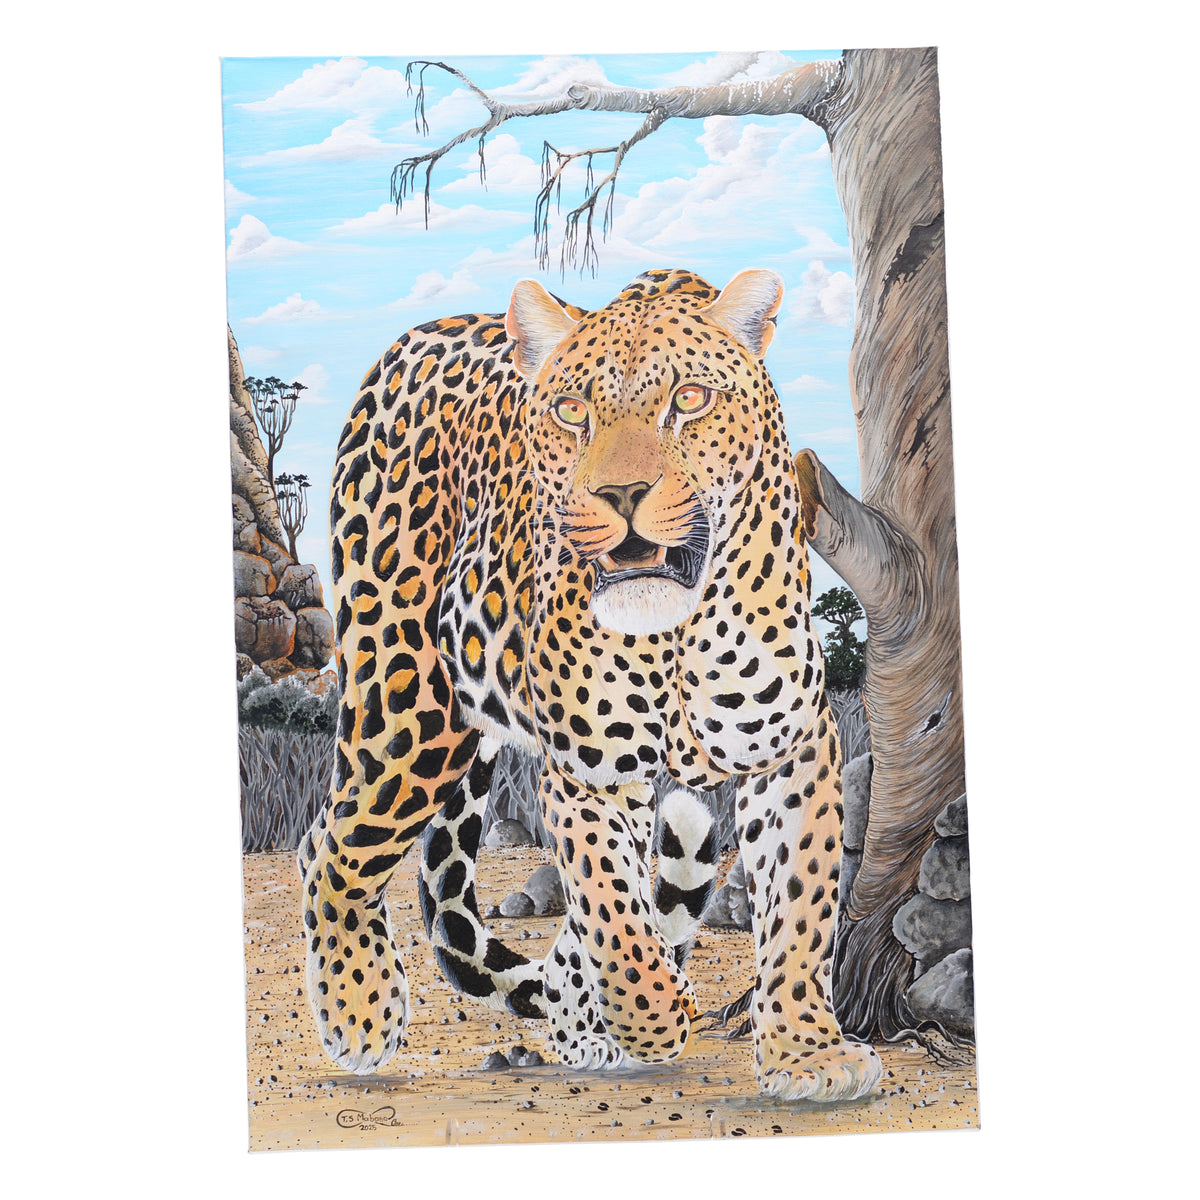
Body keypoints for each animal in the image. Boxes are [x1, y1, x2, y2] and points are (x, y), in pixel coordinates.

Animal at [297, 267, 882, 1102]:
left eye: (689, 400)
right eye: (573, 410)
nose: (621, 494)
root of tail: (419, 334)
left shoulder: (791, 751)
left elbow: (799, 905)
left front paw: (807, 1051)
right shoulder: (589, 776)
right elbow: (616, 915)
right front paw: (655, 1019)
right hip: (408, 698)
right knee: (333, 840)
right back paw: (360, 1013)